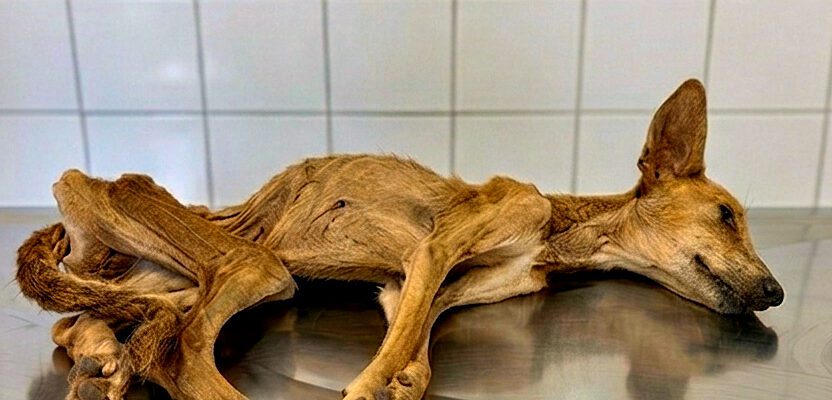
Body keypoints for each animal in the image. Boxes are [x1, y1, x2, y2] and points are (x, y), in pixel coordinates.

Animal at [16, 79, 783, 400]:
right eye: (726, 214)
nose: (774, 291)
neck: (556, 229)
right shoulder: (436, 247)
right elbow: (401, 336)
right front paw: (371, 385)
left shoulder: (413, 279)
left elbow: (418, 322)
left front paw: (410, 376)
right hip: (252, 262)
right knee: (181, 352)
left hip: (165, 276)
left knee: (91, 326)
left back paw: (107, 355)